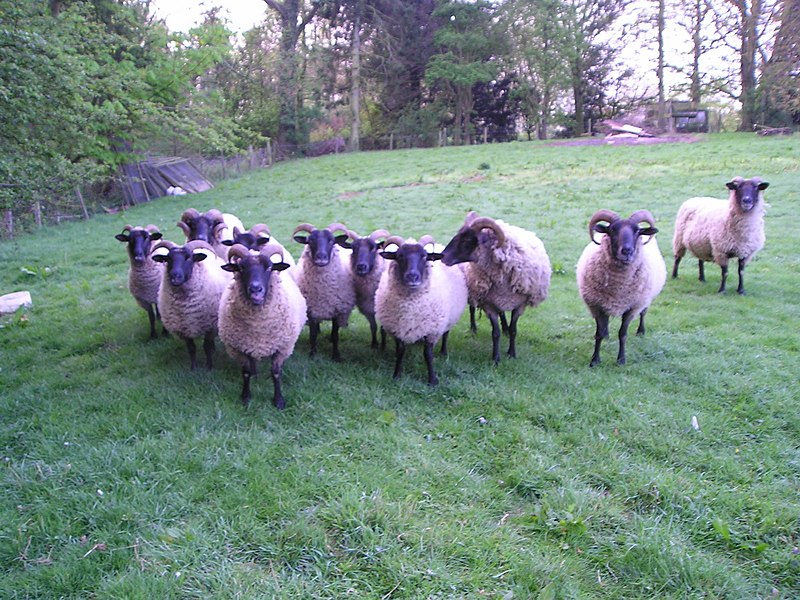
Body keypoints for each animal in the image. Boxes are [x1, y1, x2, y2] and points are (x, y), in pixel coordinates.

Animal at [217, 243, 308, 408]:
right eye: (241, 268)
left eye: (269, 267)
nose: (255, 289)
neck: (258, 328)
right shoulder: (239, 348)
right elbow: (245, 372)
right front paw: (246, 396)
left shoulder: (282, 347)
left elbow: (276, 373)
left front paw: (278, 400)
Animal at [294, 221, 356, 358]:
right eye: (310, 241)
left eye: (331, 240)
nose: (321, 257)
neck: (323, 290)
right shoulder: (311, 309)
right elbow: (312, 335)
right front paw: (312, 354)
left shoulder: (337, 310)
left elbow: (336, 334)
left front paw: (336, 355)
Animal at [376, 234, 468, 384]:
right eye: (399, 256)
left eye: (424, 256)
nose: (412, 277)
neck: (411, 305)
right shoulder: (397, 328)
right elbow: (400, 351)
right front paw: (397, 375)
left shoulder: (432, 329)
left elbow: (427, 354)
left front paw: (432, 380)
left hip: (448, 317)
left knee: (446, 333)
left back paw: (443, 352)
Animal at [440, 211, 552, 364]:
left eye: (467, 239)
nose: (442, 257)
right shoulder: (489, 304)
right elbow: (495, 333)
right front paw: (496, 358)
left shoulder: (519, 304)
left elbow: (513, 330)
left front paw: (512, 353)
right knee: (472, 309)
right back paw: (474, 328)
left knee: (502, 314)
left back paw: (505, 328)